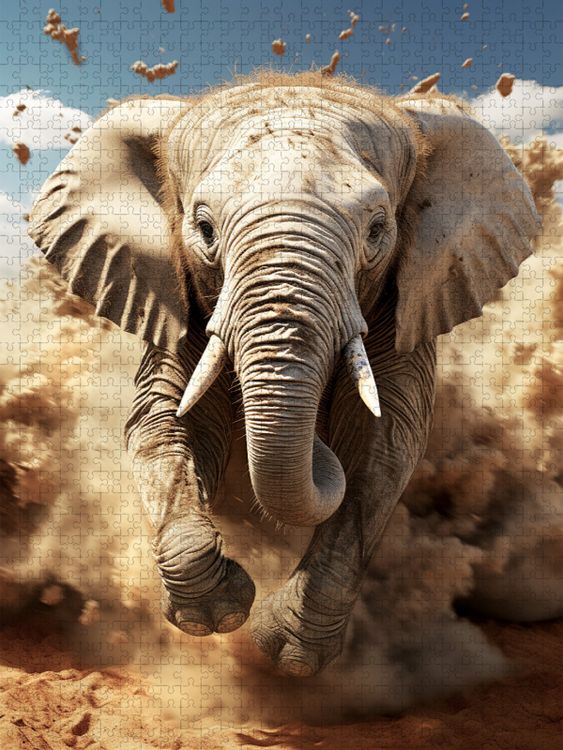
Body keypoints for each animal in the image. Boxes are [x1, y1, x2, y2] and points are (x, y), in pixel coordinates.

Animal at [28, 71, 539, 678]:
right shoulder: (176, 291)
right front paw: (218, 615)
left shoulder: (409, 296)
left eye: (377, 229)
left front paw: (291, 657)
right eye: (203, 228)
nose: (316, 438)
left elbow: (383, 442)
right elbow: (163, 422)